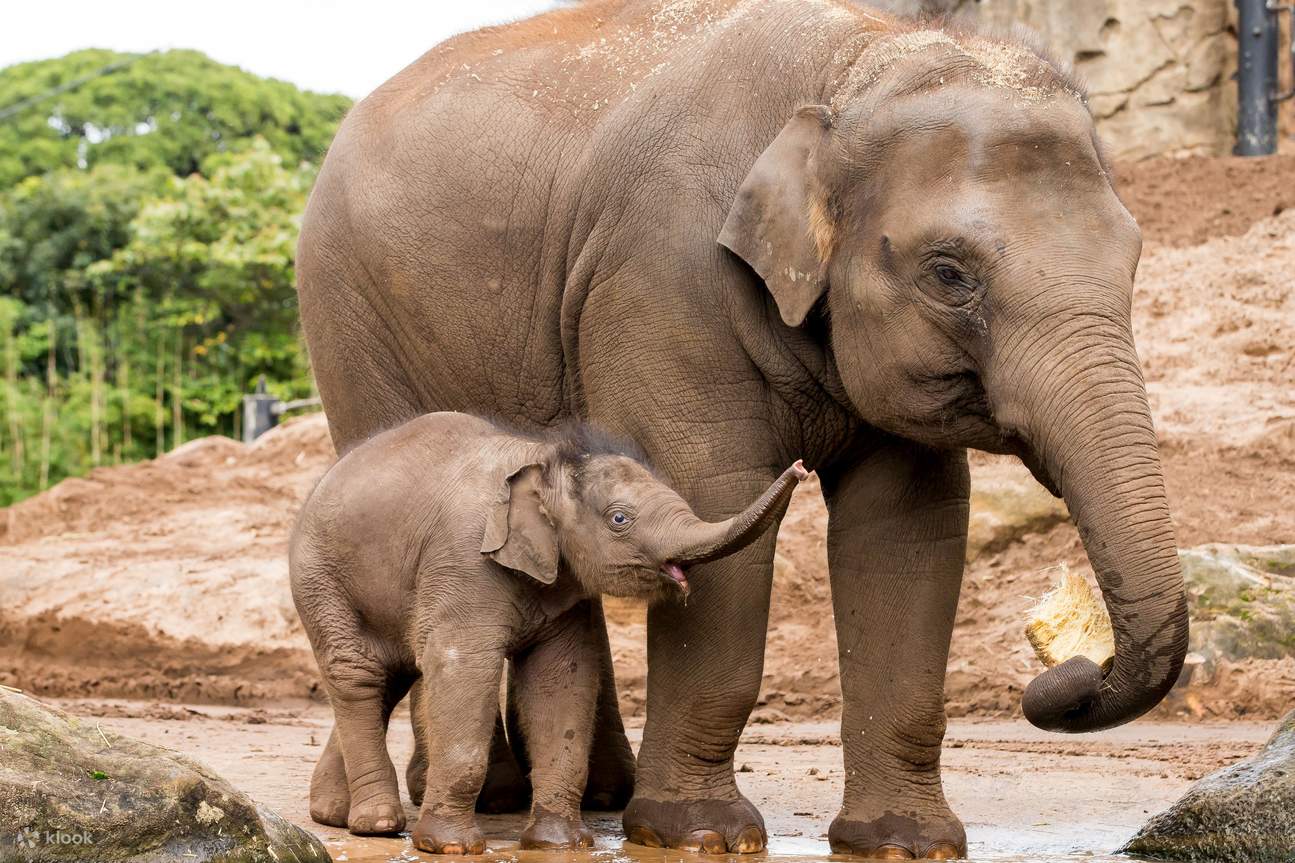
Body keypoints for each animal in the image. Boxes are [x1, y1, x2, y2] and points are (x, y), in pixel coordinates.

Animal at [290, 411, 808, 852]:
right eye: (620, 520)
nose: (801, 468)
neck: (545, 462)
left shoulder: (565, 591)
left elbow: (561, 679)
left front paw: (561, 845)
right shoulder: (463, 562)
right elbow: (460, 666)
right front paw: (452, 847)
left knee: (391, 675)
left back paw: (334, 814)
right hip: (320, 580)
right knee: (357, 675)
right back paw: (377, 824)